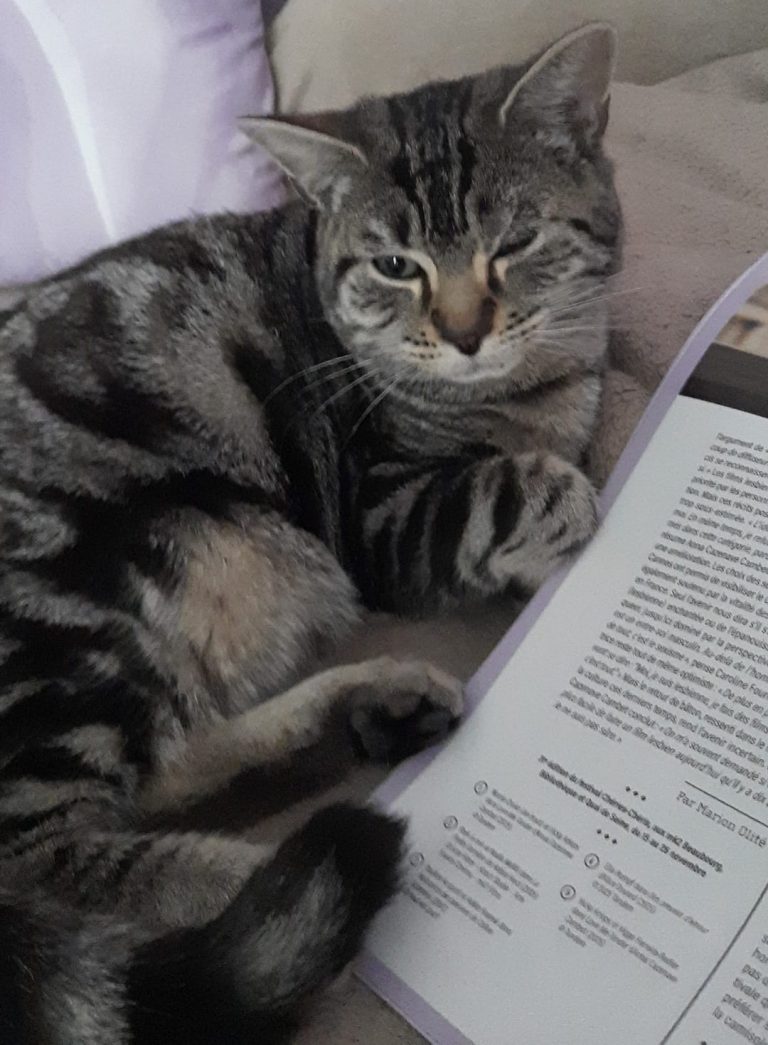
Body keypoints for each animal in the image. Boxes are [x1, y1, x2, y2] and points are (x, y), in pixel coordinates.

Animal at [0, 23, 621, 1044]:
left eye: (515, 244)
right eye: (397, 265)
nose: (465, 331)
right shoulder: (385, 520)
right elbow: (517, 488)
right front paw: (565, 507)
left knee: (151, 774)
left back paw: (356, 713)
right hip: (83, 603)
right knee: (49, 861)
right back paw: (273, 887)